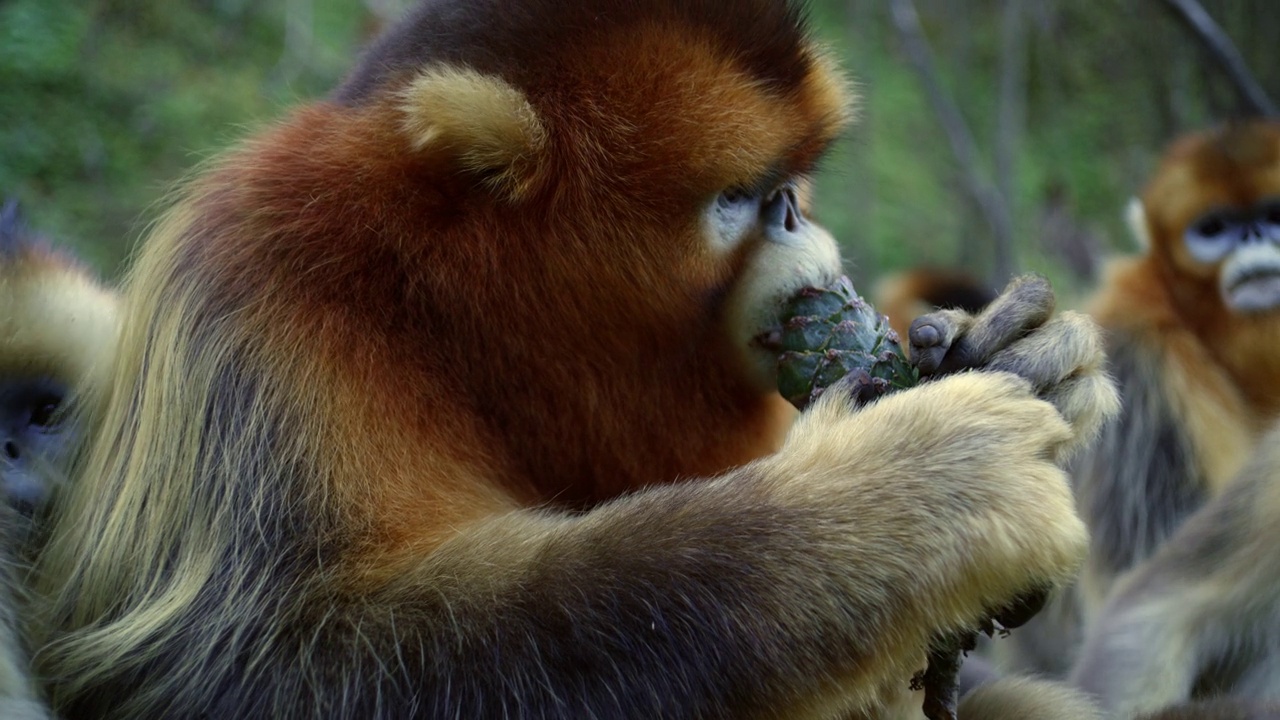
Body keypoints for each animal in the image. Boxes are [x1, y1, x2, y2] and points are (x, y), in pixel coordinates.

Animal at [24, 2, 1116, 712]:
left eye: (791, 181)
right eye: (739, 195)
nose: (794, 212)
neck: (436, 315)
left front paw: (1032, 354)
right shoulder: (262, 306)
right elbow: (270, 670)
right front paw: (907, 501)